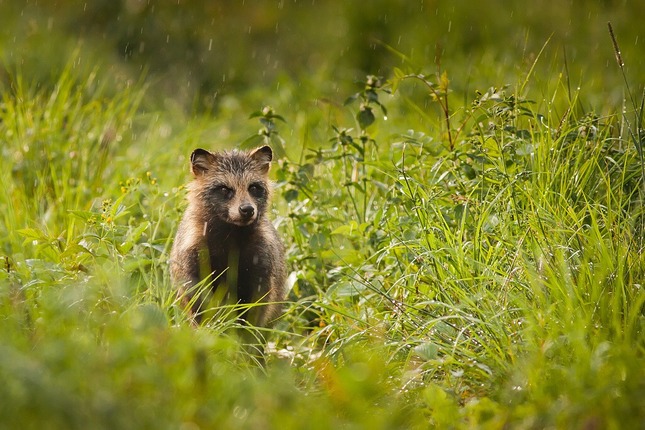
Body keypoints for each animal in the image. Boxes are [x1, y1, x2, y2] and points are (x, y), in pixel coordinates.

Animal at [170, 144, 286, 326]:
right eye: (225, 189)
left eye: (253, 188)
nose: (247, 209)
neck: (231, 233)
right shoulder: (192, 254)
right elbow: (198, 301)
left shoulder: (262, 260)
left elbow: (256, 308)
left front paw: (247, 332)